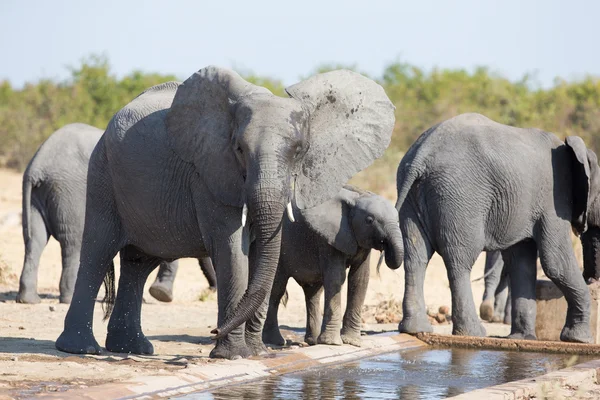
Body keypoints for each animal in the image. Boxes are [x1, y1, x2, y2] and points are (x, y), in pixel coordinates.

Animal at [262, 186, 404, 346]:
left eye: (398, 220)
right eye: (369, 220)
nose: (384, 247)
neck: (356, 197)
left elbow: (359, 279)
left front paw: (352, 342)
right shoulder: (329, 237)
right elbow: (336, 277)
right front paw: (333, 343)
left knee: (313, 293)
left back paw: (313, 341)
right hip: (277, 251)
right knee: (277, 289)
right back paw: (276, 342)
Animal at [396, 113, 596, 344]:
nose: (592, 279)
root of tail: (421, 154)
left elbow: (521, 262)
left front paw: (523, 338)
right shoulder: (555, 198)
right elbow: (555, 262)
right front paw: (580, 340)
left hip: (414, 196)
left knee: (416, 257)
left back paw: (414, 328)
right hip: (459, 194)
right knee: (459, 260)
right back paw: (472, 332)